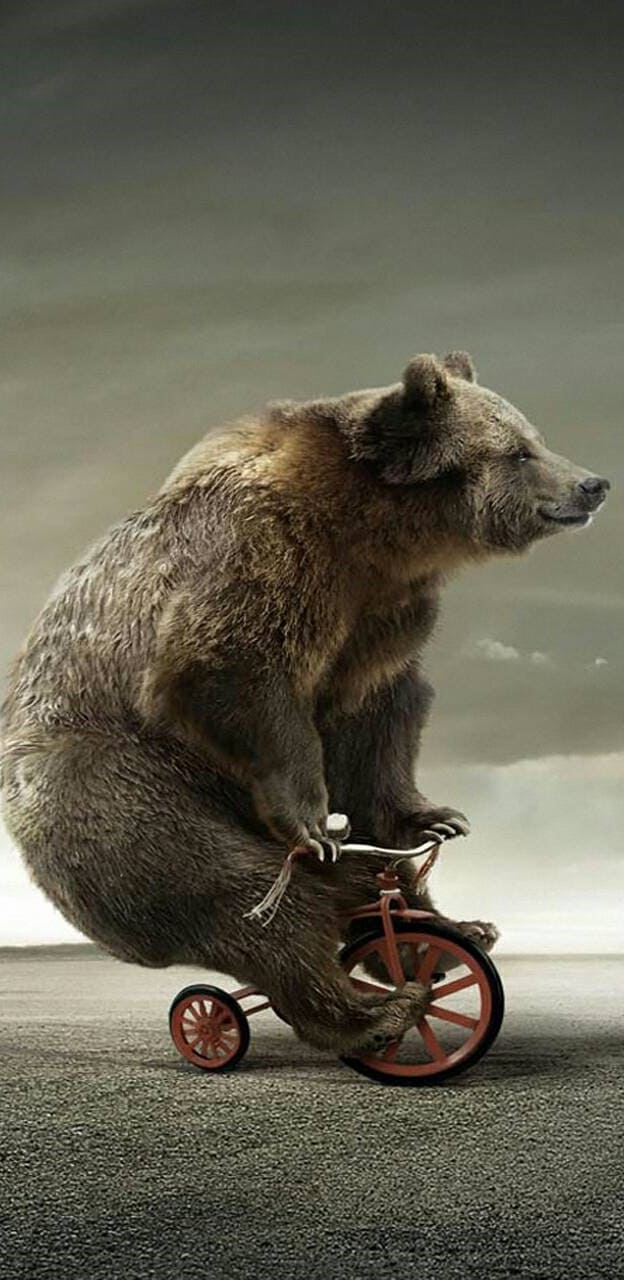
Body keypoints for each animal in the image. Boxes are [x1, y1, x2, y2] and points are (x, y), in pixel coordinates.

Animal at [0, 351, 610, 1054]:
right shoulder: (266, 555)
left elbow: (379, 716)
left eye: (534, 437)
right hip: (116, 786)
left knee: (351, 887)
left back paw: (449, 934)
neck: (377, 532)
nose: (593, 484)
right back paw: (375, 1010)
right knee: (242, 895)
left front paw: (433, 819)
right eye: (519, 451)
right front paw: (313, 822)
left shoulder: (380, 614)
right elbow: (228, 669)